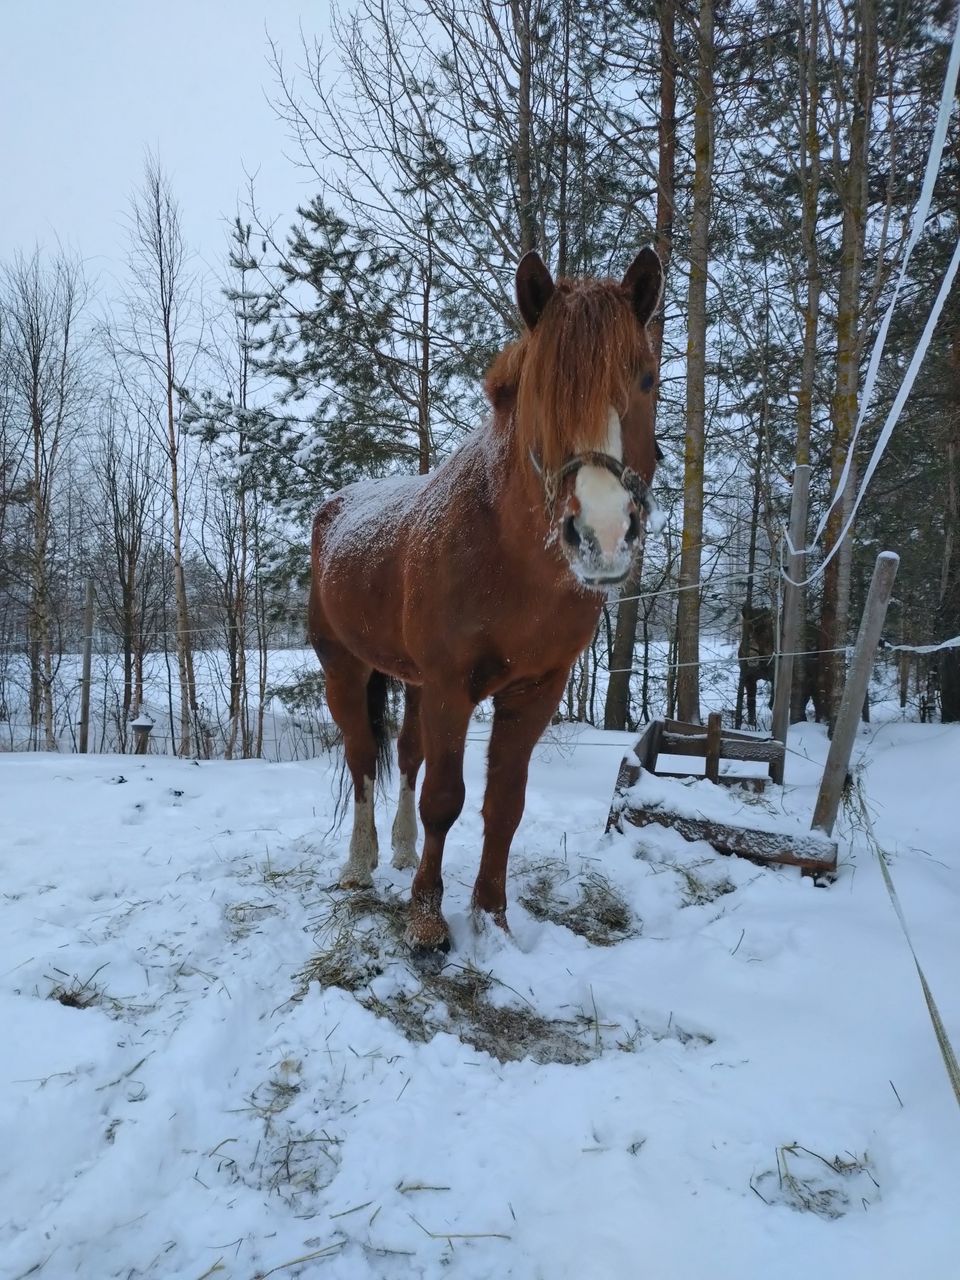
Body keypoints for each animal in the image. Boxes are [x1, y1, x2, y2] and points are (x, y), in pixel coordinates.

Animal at [312, 247, 665, 952]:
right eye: (540, 389)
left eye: (644, 378)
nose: (603, 535)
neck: (511, 558)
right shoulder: (453, 685)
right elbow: (445, 799)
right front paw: (426, 919)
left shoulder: (535, 691)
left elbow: (504, 805)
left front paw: (492, 919)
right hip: (345, 668)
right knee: (362, 758)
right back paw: (361, 863)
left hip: (413, 682)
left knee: (406, 756)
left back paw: (399, 851)